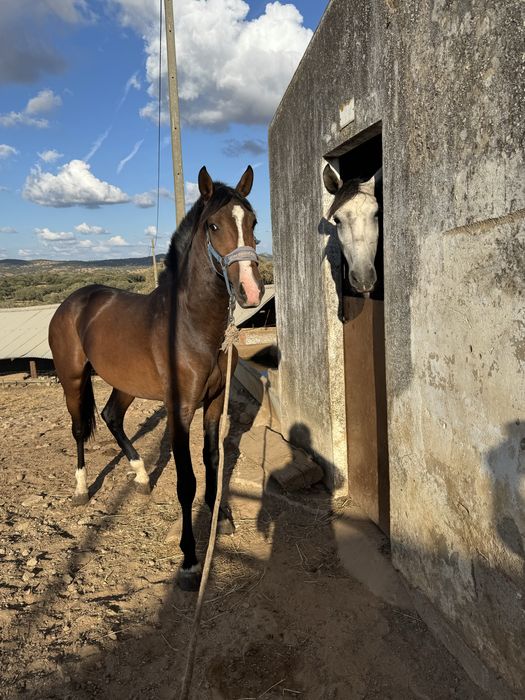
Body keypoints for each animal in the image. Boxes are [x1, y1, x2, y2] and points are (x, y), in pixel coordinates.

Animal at [48, 166, 264, 590]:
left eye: (252, 222)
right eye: (213, 225)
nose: (250, 290)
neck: (191, 326)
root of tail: (73, 302)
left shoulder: (214, 404)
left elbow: (213, 465)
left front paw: (221, 519)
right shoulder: (180, 410)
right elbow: (187, 481)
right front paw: (190, 560)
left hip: (125, 385)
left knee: (112, 417)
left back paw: (141, 477)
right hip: (73, 380)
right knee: (79, 429)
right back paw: (81, 489)